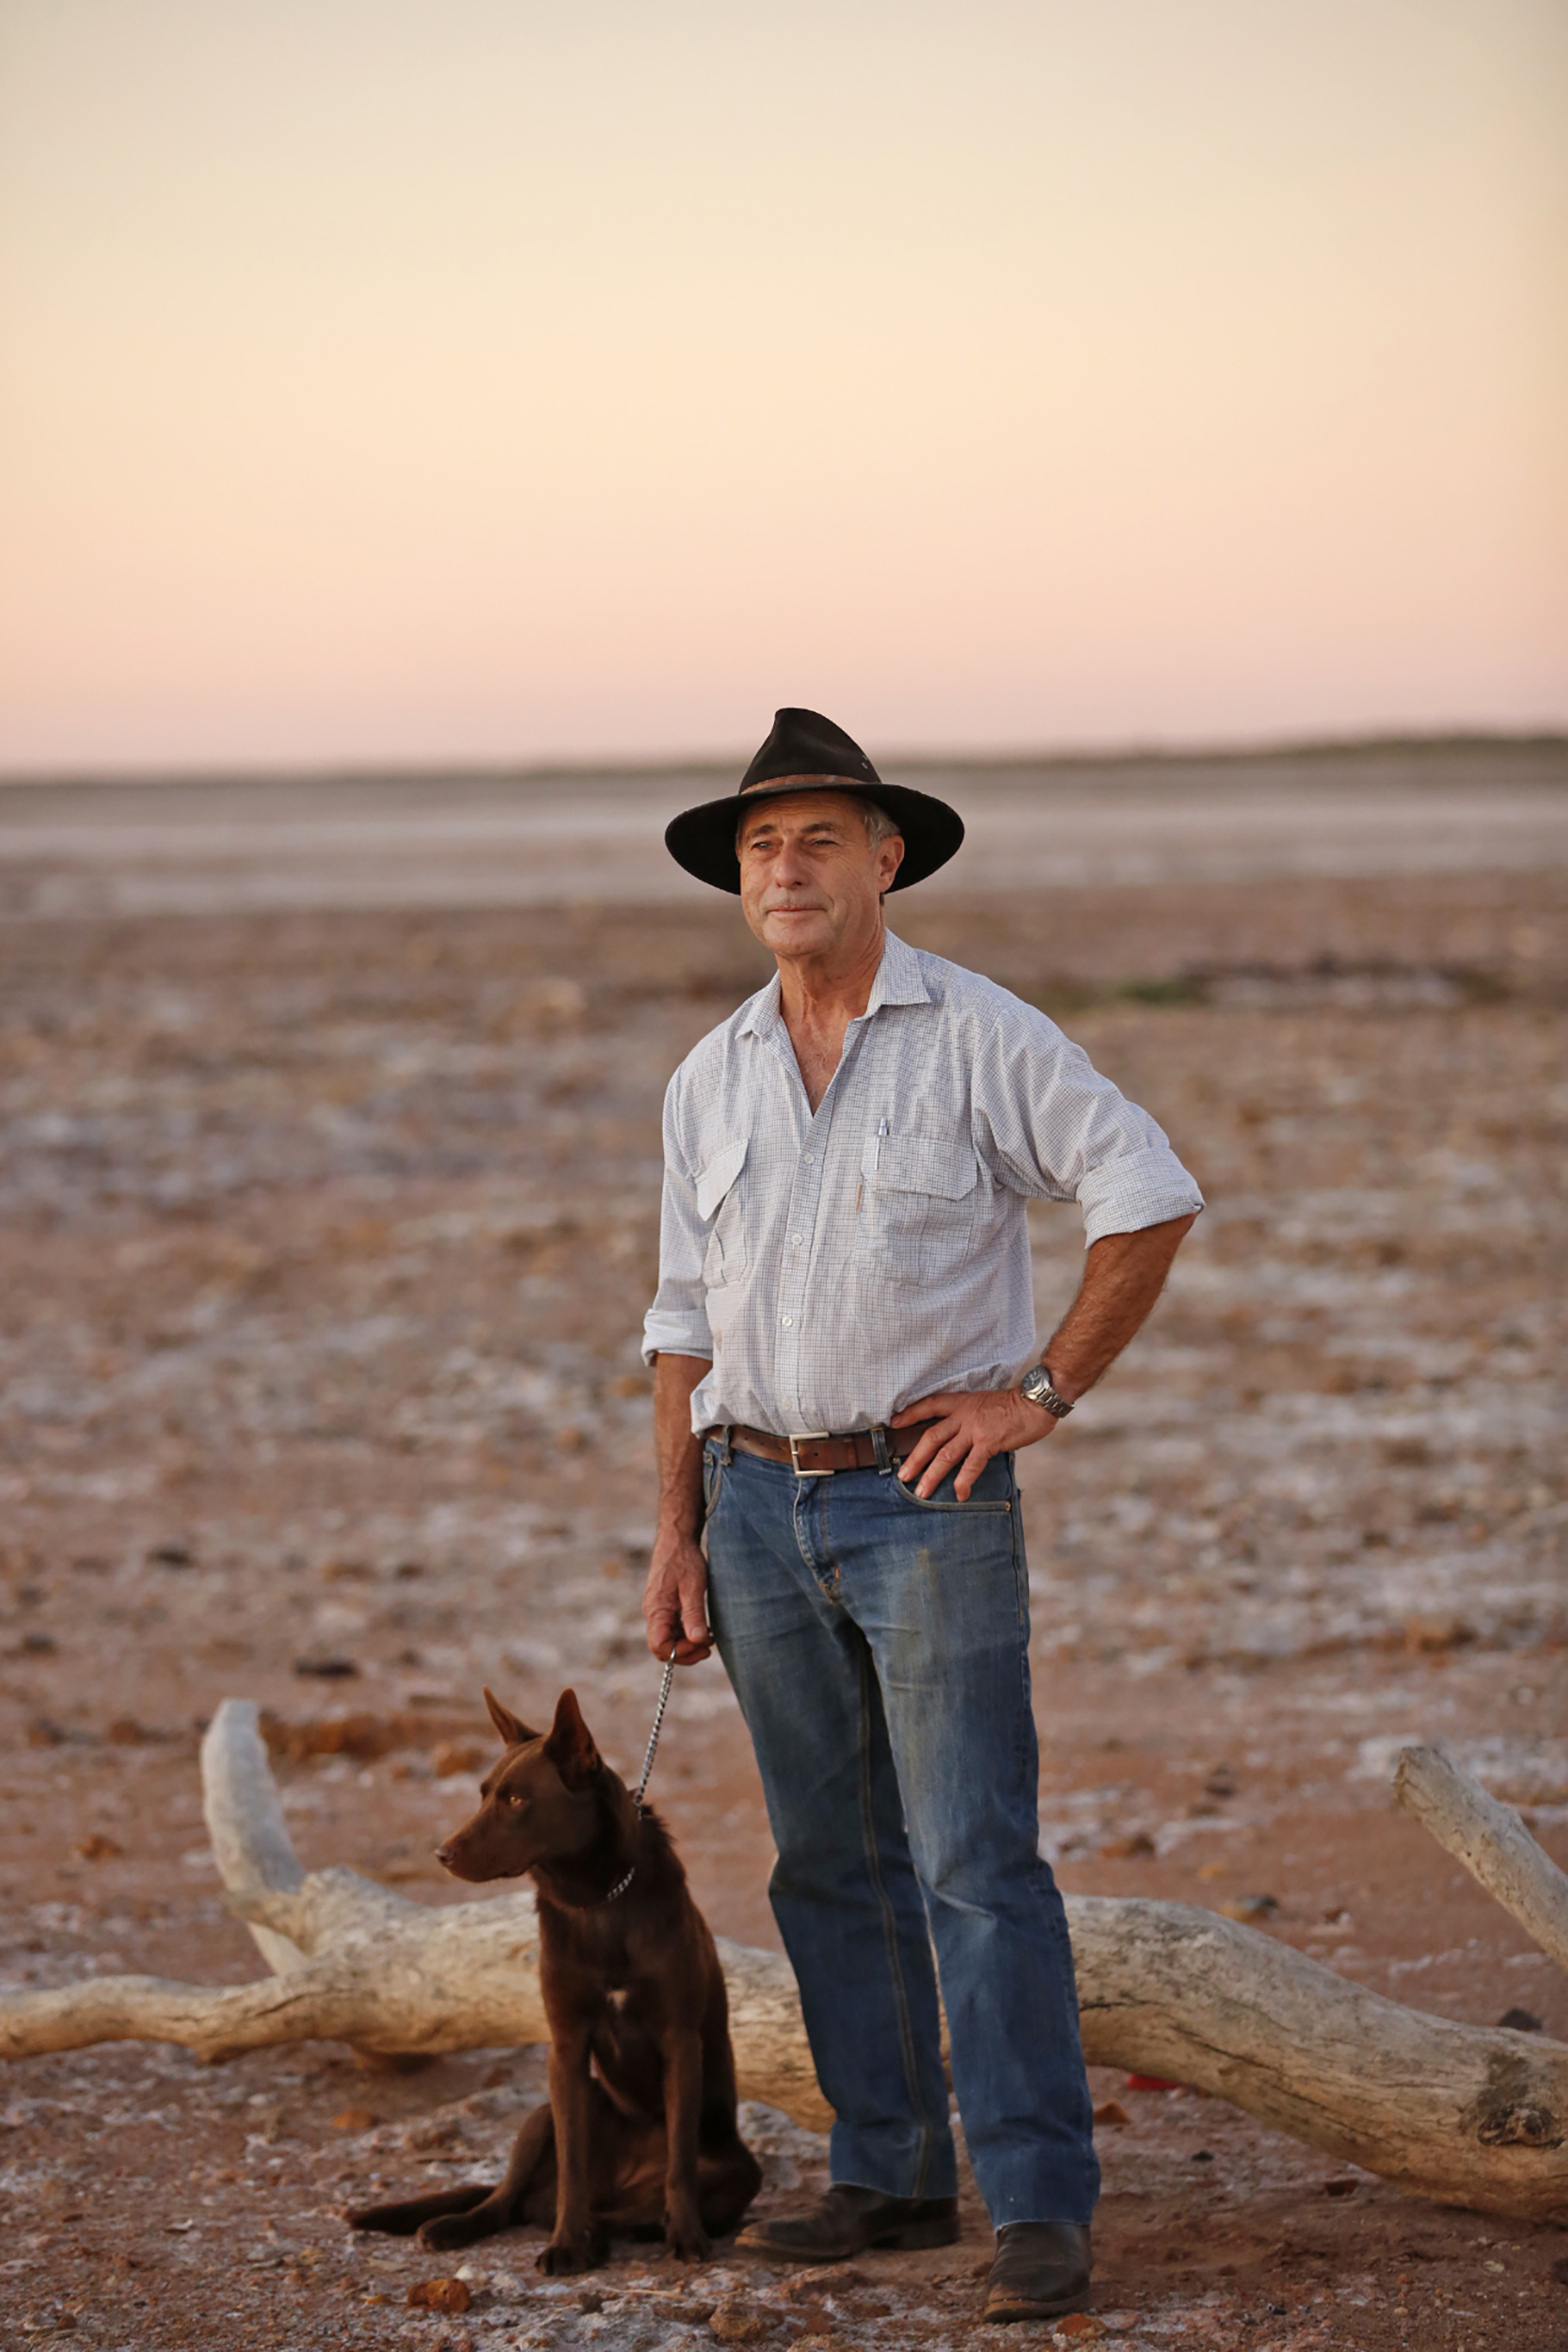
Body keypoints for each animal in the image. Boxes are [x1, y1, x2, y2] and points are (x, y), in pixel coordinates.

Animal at [347, 1684, 761, 2267]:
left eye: (517, 1801)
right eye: (482, 1794)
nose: (441, 1853)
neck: (597, 1902)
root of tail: (626, 2180)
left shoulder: (680, 2044)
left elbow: (680, 2162)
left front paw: (686, 2235)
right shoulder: (565, 2049)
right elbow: (572, 2168)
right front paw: (566, 2243)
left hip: (739, 2170)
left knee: (622, 2209)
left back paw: (611, 2232)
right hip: (541, 2115)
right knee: (507, 2201)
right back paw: (460, 2226)